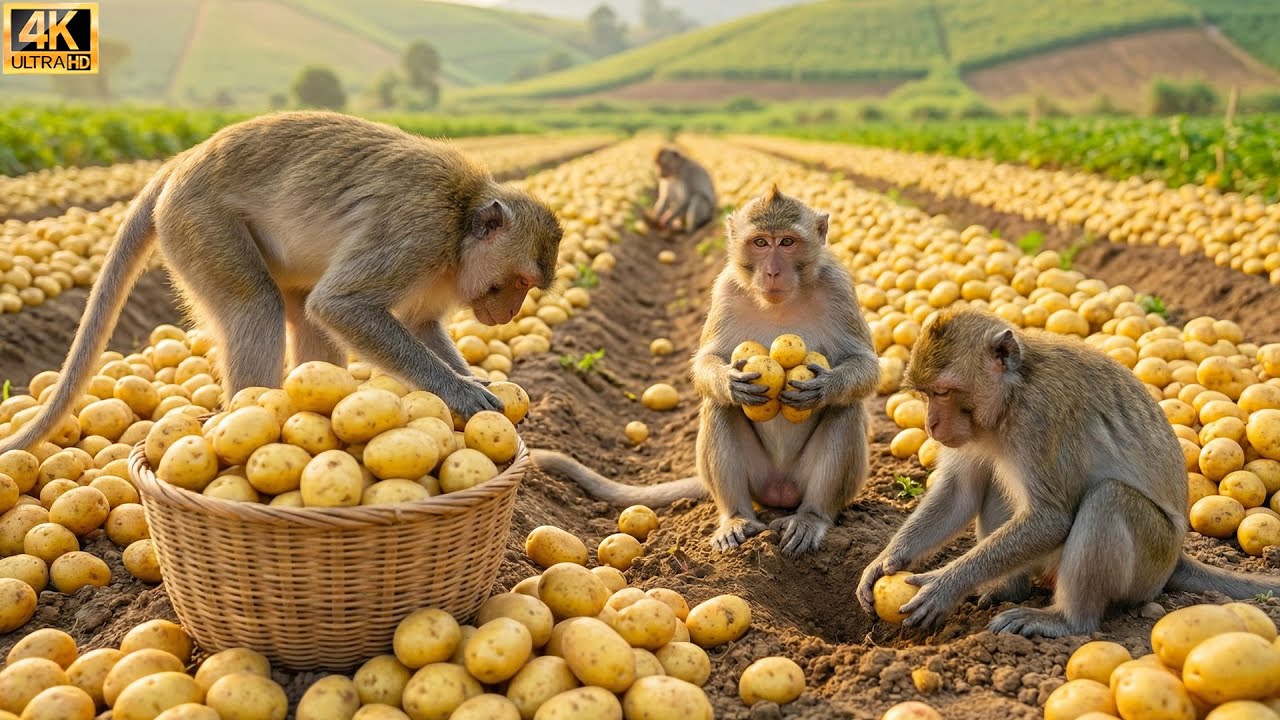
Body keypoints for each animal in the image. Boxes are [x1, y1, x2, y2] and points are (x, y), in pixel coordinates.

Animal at [0, 110, 563, 455]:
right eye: (517, 281)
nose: (511, 312)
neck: (461, 217)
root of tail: (182, 160)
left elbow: (419, 325)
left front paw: (474, 379)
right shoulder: (417, 232)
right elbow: (342, 305)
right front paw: (461, 391)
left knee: (304, 318)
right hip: (197, 223)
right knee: (258, 307)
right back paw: (243, 413)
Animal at [534, 187, 880, 557]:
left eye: (787, 242)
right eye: (761, 243)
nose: (772, 272)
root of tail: (779, 491)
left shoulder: (838, 286)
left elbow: (866, 364)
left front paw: (823, 386)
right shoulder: (725, 288)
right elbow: (707, 361)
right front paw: (730, 382)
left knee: (845, 408)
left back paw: (812, 516)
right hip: (758, 477)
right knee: (719, 407)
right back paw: (735, 517)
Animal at [856, 307, 1280, 638]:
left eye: (943, 392)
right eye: (925, 394)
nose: (931, 425)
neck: (1014, 393)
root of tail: (1177, 556)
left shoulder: (1042, 418)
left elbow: (1052, 519)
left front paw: (945, 584)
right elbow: (959, 493)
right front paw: (885, 561)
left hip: (1150, 564)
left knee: (1109, 499)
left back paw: (1067, 620)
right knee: (995, 483)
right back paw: (1008, 589)